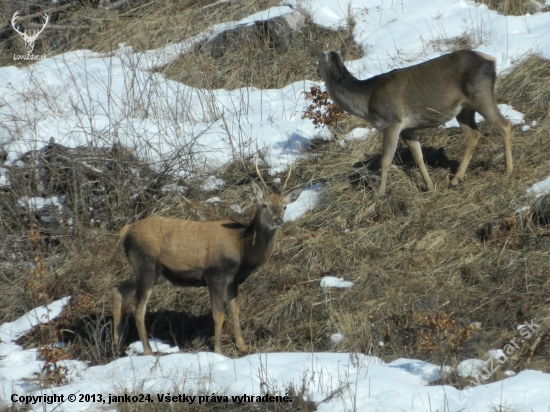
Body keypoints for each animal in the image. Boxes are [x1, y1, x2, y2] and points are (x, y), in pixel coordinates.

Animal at [110, 169, 304, 356]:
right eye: (265, 205)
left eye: (284, 206)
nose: (278, 220)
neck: (242, 248)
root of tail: (125, 231)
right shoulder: (215, 274)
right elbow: (218, 313)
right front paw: (218, 350)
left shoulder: (233, 281)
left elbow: (235, 310)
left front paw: (242, 346)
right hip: (146, 265)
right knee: (138, 307)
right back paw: (148, 351)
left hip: (151, 272)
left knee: (119, 290)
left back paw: (118, 347)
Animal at [308, 41, 516, 196]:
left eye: (317, 61)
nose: (316, 73)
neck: (366, 102)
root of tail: (491, 60)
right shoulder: (407, 127)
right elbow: (418, 156)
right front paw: (429, 186)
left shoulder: (392, 122)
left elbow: (385, 160)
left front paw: (380, 193)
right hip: (464, 110)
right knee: (474, 134)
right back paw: (456, 178)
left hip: (480, 94)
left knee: (504, 124)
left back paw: (508, 170)